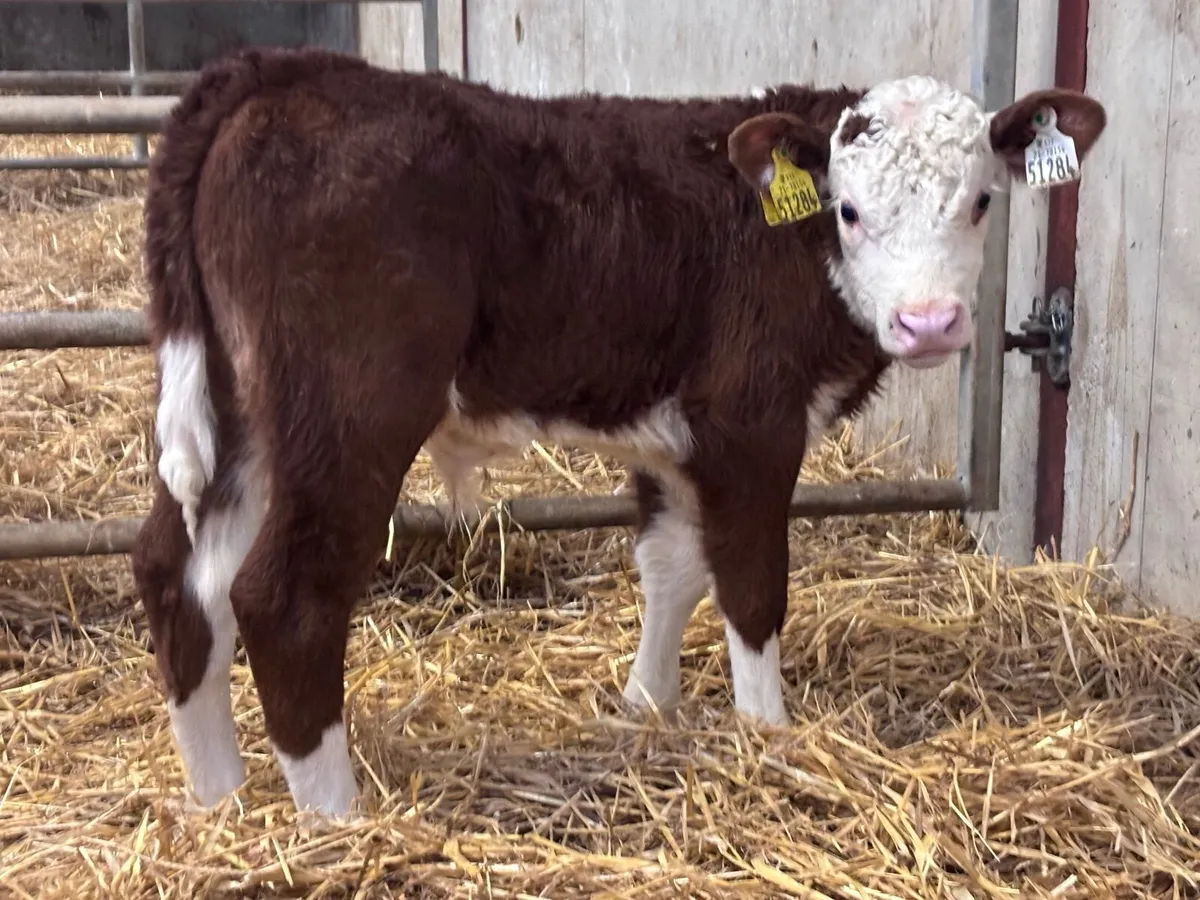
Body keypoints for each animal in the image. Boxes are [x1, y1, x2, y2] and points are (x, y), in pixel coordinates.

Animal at [130, 45, 1107, 819]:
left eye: (981, 201)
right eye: (850, 211)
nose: (930, 323)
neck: (779, 236)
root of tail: (278, 71)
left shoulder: (674, 440)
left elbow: (671, 568)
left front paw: (647, 707)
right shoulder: (752, 424)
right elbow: (751, 590)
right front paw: (769, 738)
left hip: (239, 414)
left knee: (178, 571)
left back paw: (219, 802)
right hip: (347, 416)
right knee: (282, 596)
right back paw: (336, 822)